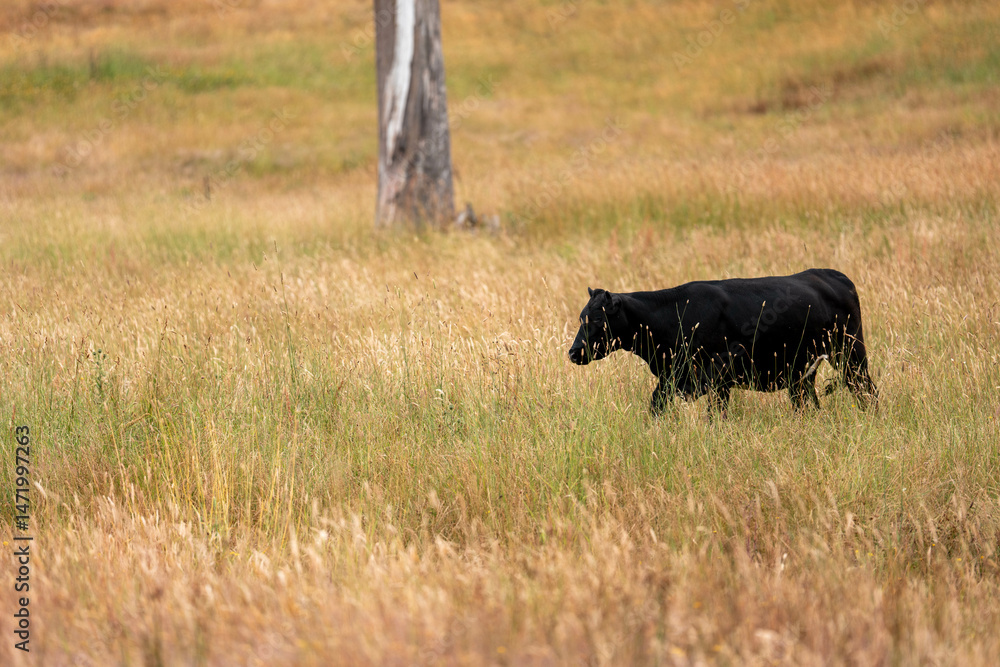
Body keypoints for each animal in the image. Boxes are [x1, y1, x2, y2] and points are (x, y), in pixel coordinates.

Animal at [567, 269, 878, 415]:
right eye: (581, 317)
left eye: (597, 319)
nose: (574, 352)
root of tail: (831, 275)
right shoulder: (671, 376)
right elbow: (656, 405)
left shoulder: (719, 377)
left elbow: (716, 415)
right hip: (802, 371)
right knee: (806, 401)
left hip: (851, 353)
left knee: (866, 389)